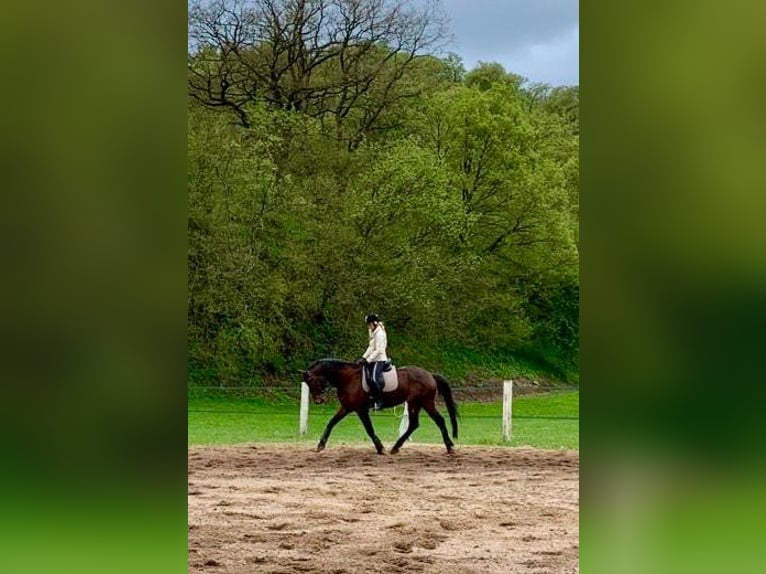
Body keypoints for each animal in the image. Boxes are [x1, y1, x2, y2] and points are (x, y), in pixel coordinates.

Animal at [301, 358, 459, 455]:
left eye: (312, 381)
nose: (319, 400)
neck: (348, 378)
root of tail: (430, 375)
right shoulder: (347, 407)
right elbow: (331, 423)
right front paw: (320, 445)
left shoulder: (360, 409)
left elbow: (369, 429)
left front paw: (380, 447)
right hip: (415, 404)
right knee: (414, 424)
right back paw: (396, 447)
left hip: (425, 403)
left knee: (439, 420)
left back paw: (449, 447)